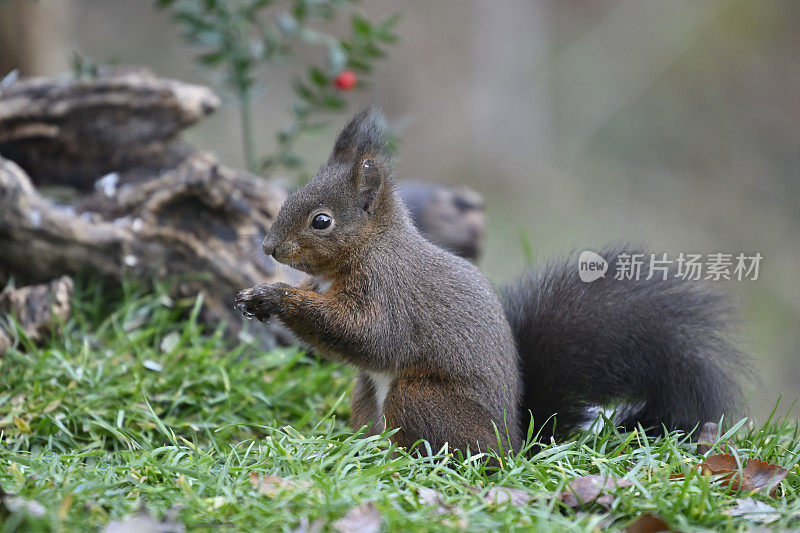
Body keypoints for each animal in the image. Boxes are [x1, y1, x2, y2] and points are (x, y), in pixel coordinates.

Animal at [234, 105, 748, 454]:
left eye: (321, 221)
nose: (269, 248)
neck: (368, 251)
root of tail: (515, 444)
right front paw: (254, 297)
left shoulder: (387, 292)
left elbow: (369, 335)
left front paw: (278, 297)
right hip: (366, 395)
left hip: (419, 399)